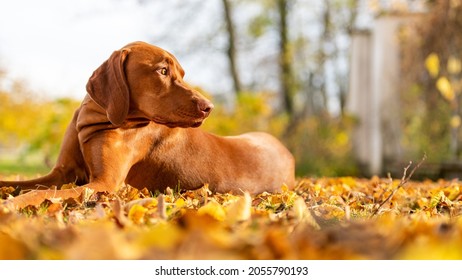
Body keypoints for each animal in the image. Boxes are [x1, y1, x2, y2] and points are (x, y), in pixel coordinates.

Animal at [0, 41, 296, 208]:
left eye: (181, 74)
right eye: (162, 71)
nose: (209, 107)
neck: (97, 116)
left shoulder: (103, 183)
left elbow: (43, 194)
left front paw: (14, 205)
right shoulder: (62, 173)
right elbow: (21, 184)